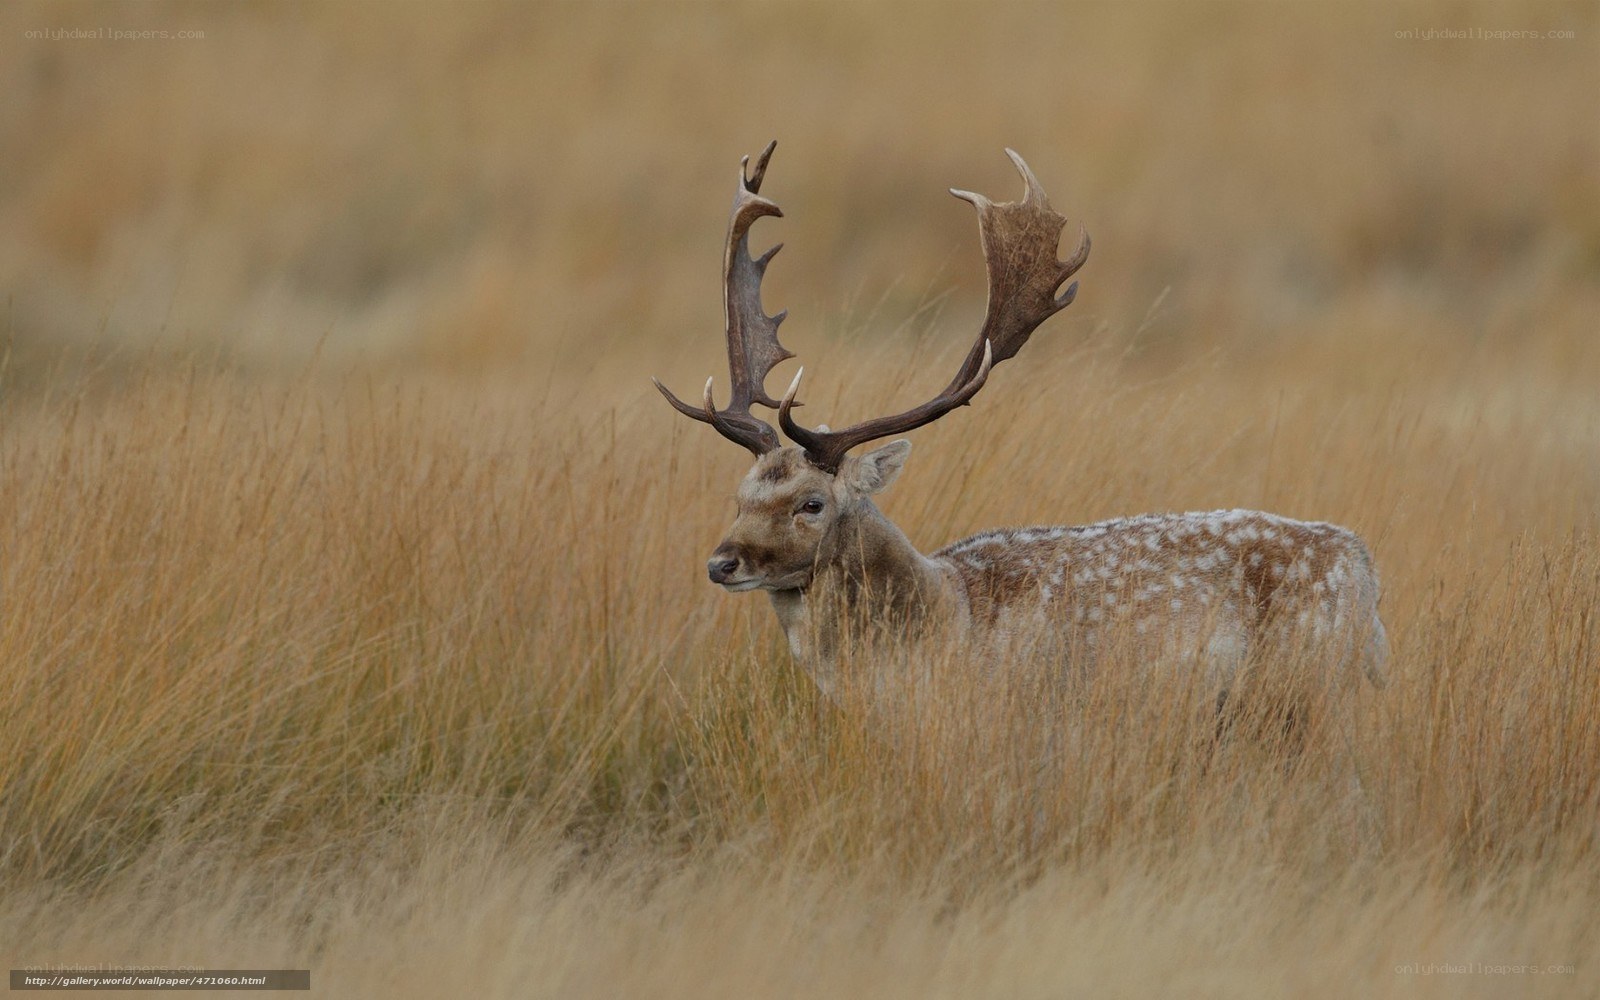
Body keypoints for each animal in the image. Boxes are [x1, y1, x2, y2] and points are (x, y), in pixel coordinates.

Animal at [653, 141, 1389, 708]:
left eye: (812, 502)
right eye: (740, 496)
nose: (722, 562)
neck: (942, 623)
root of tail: (1363, 565)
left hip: (1313, 684)